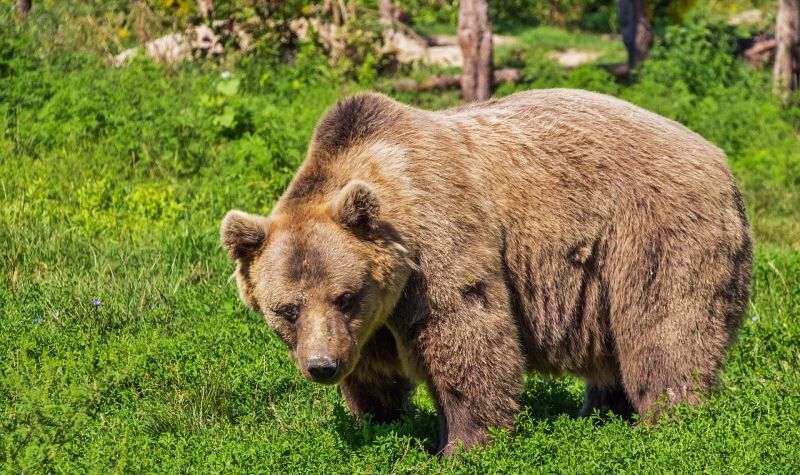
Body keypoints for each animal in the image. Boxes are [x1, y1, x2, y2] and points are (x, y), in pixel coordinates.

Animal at [219, 90, 752, 458]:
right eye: (286, 309)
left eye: (344, 296)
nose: (322, 365)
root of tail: (720, 159)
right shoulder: (371, 320)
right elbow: (374, 372)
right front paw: (379, 422)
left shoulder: (439, 244)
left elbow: (467, 336)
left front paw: (462, 445)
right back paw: (603, 413)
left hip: (653, 233)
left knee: (665, 330)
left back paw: (671, 421)